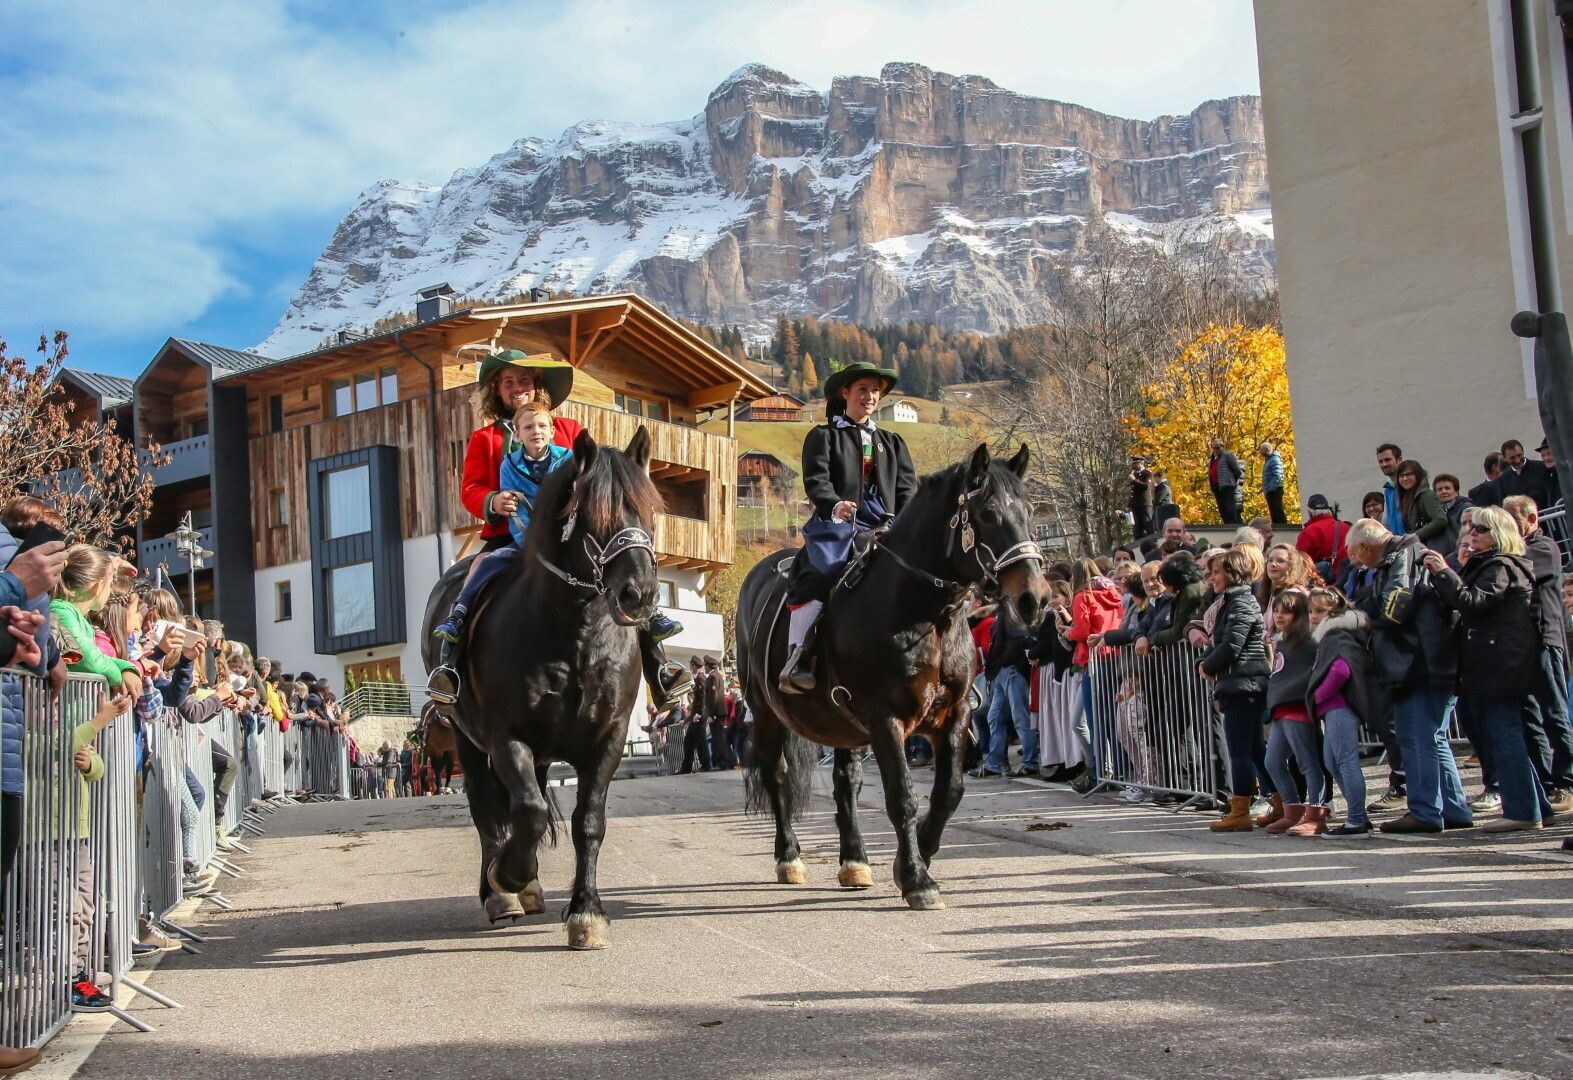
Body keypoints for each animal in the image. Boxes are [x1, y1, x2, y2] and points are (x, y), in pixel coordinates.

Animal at [418, 427, 657, 949]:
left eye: (649, 509)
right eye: (593, 512)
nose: (641, 594)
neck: (575, 635)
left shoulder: (608, 738)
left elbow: (588, 822)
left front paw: (586, 912)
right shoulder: (506, 737)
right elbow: (526, 810)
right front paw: (509, 874)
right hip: (466, 740)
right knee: (488, 808)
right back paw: (501, 893)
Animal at [733, 443, 1044, 905]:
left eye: (1029, 509)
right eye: (988, 514)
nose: (1034, 599)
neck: (926, 614)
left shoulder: (953, 716)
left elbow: (948, 793)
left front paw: (915, 859)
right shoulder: (886, 719)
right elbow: (902, 797)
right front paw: (917, 878)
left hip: (842, 726)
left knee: (845, 783)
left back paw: (855, 862)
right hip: (768, 715)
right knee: (778, 777)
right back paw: (789, 858)